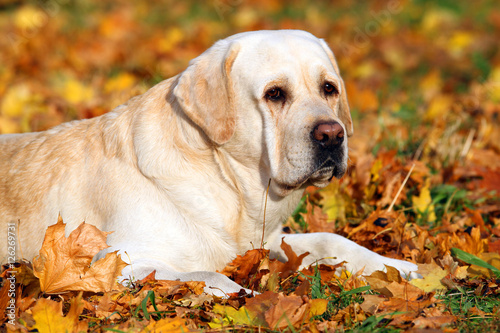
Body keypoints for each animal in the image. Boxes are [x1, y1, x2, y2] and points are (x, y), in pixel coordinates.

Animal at [0, 29, 418, 294]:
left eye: (329, 88)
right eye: (275, 94)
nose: (333, 135)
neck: (229, 182)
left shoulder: (268, 239)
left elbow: (330, 238)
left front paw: (400, 267)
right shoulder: (118, 262)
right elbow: (206, 275)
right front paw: (246, 296)